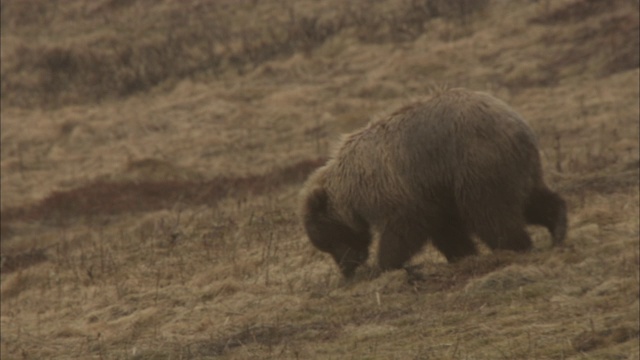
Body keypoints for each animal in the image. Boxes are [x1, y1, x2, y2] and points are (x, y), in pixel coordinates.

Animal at [298, 88, 564, 278]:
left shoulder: (397, 188)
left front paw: (386, 264)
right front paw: (462, 254)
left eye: (329, 241)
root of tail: (516, 124)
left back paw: (514, 246)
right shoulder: (434, 192)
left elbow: (404, 228)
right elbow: (445, 229)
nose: (347, 269)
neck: (351, 191)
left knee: (490, 213)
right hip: (514, 168)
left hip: (475, 163)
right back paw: (558, 225)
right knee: (530, 200)